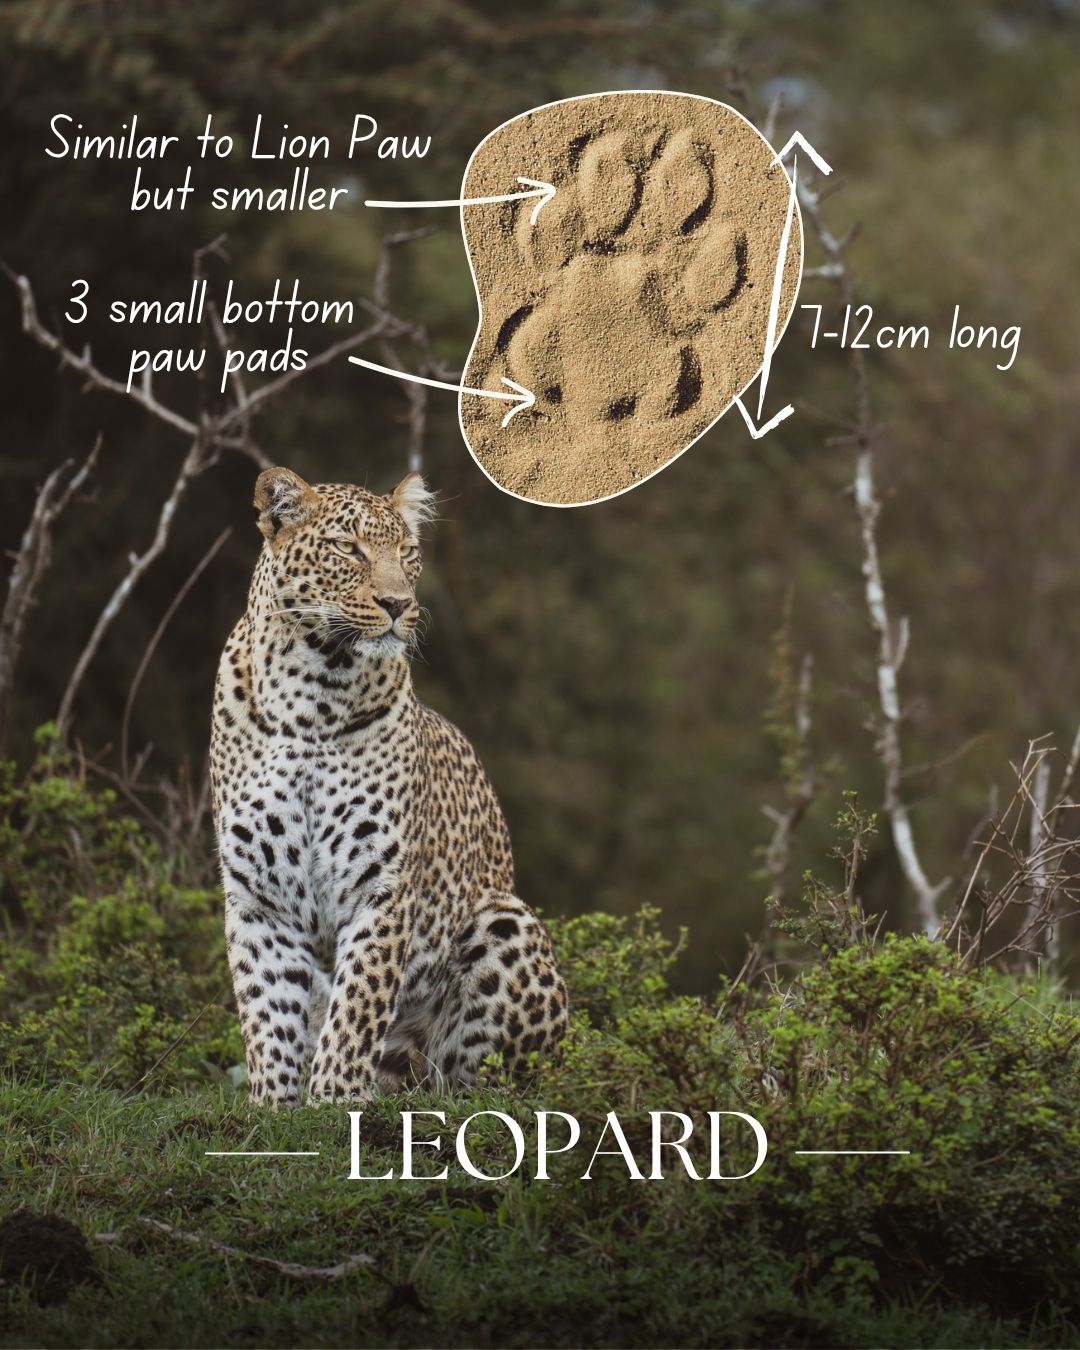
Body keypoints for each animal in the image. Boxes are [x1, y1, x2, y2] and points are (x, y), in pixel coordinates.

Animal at [209, 466, 567, 1104]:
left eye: (406, 553)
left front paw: (334, 1104)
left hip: (505, 921)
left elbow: (357, 1005)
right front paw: (272, 1108)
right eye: (347, 549)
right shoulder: (258, 896)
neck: (312, 695)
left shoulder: (380, 885)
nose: (399, 603)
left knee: (480, 1083)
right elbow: (268, 1011)